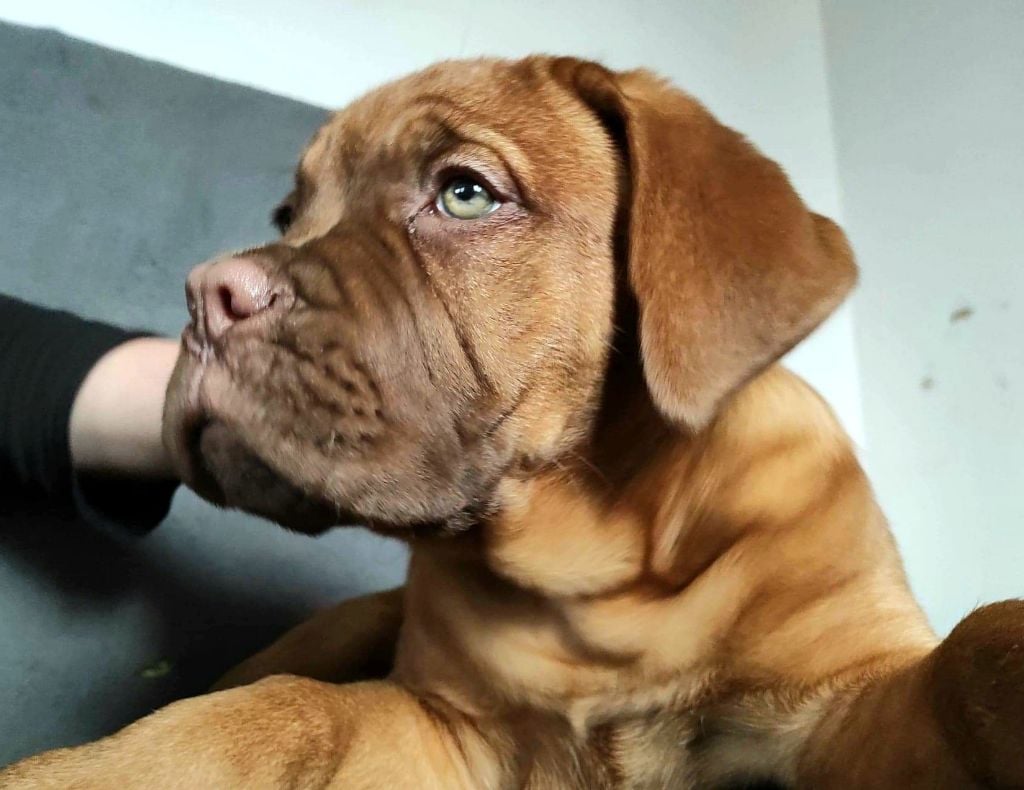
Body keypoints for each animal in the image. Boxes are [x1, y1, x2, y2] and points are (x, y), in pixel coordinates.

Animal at [4, 57, 1019, 790]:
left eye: (464, 193)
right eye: (289, 214)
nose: (204, 297)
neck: (599, 580)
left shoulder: (839, 709)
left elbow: (977, 646)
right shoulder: (450, 731)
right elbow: (283, 712)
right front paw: (79, 771)